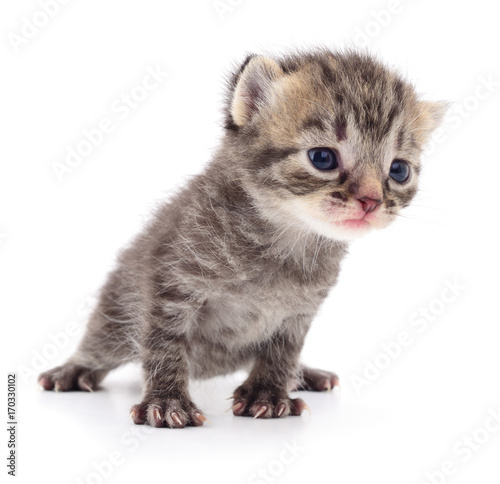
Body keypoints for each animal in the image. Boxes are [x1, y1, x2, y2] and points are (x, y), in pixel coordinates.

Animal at [39, 49, 446, 428]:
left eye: (398, 170)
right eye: (322, 158)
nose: (371, 201)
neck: (286, 238)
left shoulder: (300, 312)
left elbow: (282, 352)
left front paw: (268, 391)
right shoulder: (171, 285)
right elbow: (164, 343)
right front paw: (168, 401)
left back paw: (303, 374)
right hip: (116, 312)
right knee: (101, 343)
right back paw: (74, 369)